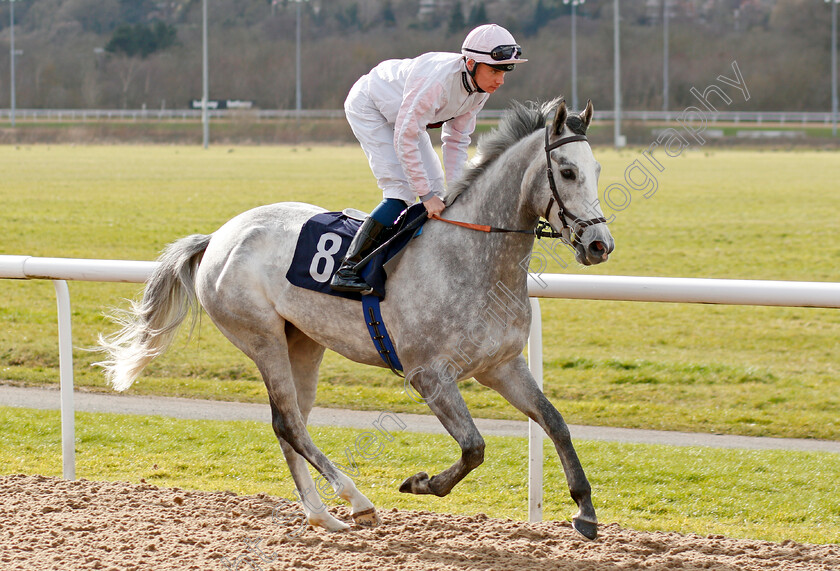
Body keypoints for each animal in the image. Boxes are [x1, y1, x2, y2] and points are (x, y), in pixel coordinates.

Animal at [98, 98, 616, 540]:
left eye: (596, 169)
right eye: (567, 171)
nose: (599, 245)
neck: (474, 258)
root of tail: (219, 236)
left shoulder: (502, 366)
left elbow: (555, 422)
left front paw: (585, 511)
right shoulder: (429, 374)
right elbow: (474, 447)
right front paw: (420, 483)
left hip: (303, 342)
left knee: (290, 422)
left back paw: (321, 515)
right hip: (261, 336)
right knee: (289, 423)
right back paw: (355, 501)